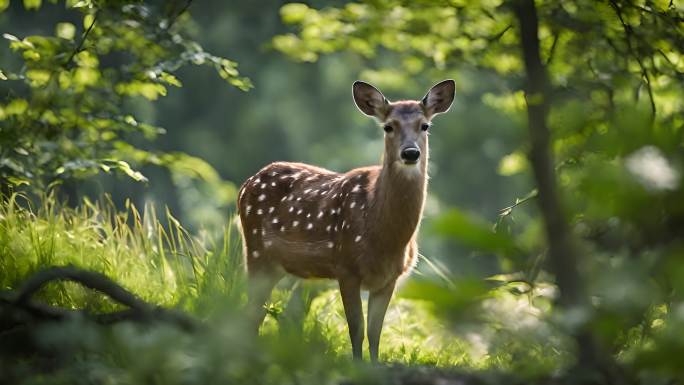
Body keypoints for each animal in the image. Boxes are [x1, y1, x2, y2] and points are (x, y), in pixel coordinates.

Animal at [238, 79, 456, 362]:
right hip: (255, 251)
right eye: (388, 126)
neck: (384, 235)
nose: (410, 153)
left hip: (279, 265)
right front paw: (357, 365)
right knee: (250, 313)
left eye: (425, 125)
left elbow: (375, 333)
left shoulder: (390, 279)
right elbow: (356, 328)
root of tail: (245, 185)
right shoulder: (346, 267)